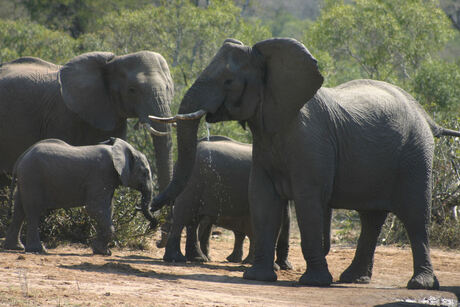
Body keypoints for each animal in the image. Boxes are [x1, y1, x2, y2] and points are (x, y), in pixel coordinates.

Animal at [2, 138, 154, 256]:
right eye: (145, 173)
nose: (153, 225)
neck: (117, 149)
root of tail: (21, 158)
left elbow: (107, 209)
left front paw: (102, 251)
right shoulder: (101, 175)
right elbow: (95, 208)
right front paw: (104, 252)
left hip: (25, 179)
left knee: (19, 209)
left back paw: (16, 247)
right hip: (32, 177)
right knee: (33, 210)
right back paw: (39, 250)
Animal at [162, 136, 292, 270]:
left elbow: (283, 217)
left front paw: (284, 267)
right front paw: (278, 267)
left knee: (192, 218)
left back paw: (198, 259)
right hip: (195, 180)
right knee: (184, 214)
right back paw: (177, 259)